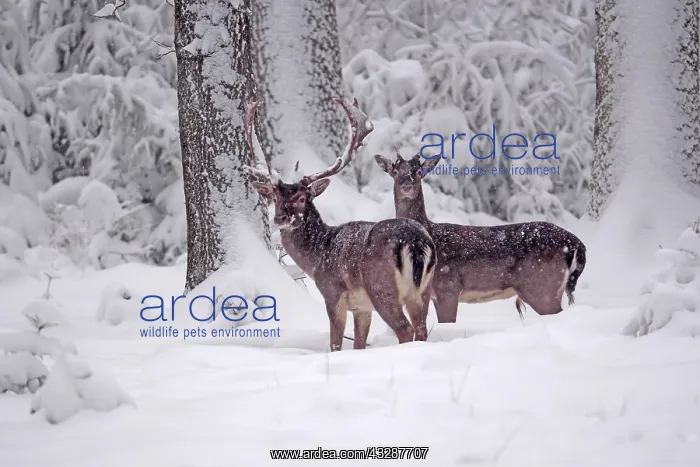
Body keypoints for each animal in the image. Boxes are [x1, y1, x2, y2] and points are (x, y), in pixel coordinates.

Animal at [244, 99, 436, 351]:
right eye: (275, 198)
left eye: (302, 198)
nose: (280, 219)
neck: (318, 255)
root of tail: (415, 242)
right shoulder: (362, 307)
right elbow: (359, 343)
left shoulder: (333, 292)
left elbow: (335, 342)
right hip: (423, 291)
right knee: (422, 329)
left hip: (381, 286)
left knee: (405, 329)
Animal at [375, 152, 586, 322]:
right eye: (395, 172)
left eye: (419, 171)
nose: (407, 186)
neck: (430, 232)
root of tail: (576, 244)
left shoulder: (448, 286)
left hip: (541, 286)